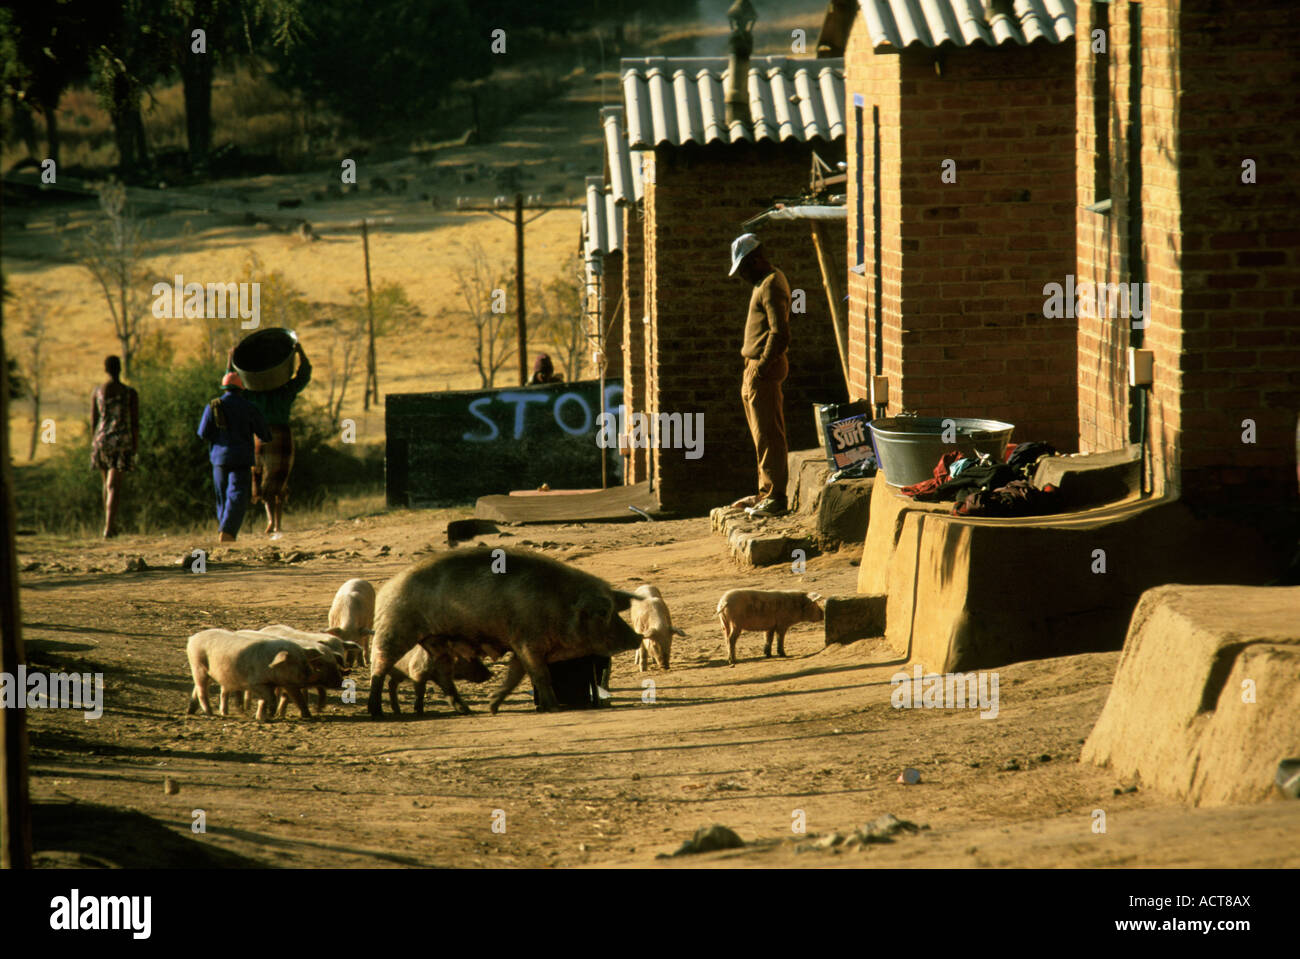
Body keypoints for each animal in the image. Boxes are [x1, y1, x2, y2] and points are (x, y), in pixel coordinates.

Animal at [187, 628, 345, 717]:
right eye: (320, 664)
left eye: (305, 661)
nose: (341, 681)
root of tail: (192, 638)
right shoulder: (257, 683)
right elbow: (272, 698)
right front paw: (269, 715)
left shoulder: (287, 684)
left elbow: (297, 698)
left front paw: (307, 715)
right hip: (198, 666)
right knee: (202, 690)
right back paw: (210, 713)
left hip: (211, 673)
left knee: (204, 689)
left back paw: (195, 711)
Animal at [366, 545, 639, 717]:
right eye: (603, 612)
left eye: (614, 608)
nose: (637, 637)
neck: (558, 606)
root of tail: (386, 587)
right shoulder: (527, 641)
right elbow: (540, 675)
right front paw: (554, 708)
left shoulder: (519, 645)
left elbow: (515, 676)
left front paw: (492, 707)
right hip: (393, 630)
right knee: (378, 667)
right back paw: (376, 712)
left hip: (436, 641)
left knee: (444, 675)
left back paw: (467, 711)